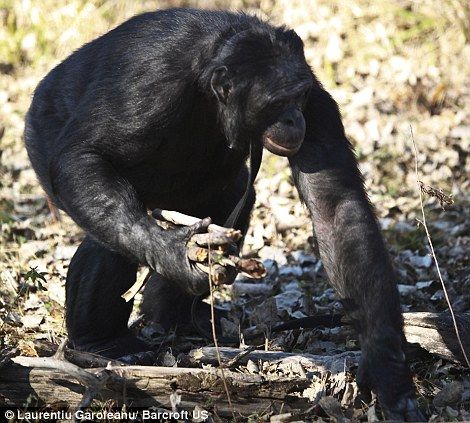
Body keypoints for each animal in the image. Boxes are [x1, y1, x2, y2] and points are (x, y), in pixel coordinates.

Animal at [23, 8, 424, 422]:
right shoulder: (145, 84)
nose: (293, 119)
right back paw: (101, 342)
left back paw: (173, 315)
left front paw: (386, 367)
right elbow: (85, 156)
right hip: (42, 130)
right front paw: (173, 255)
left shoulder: (315, 99)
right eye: (277, 101)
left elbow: (336, 207)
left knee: (232, 196)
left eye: (297, 97)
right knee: (107, 229)